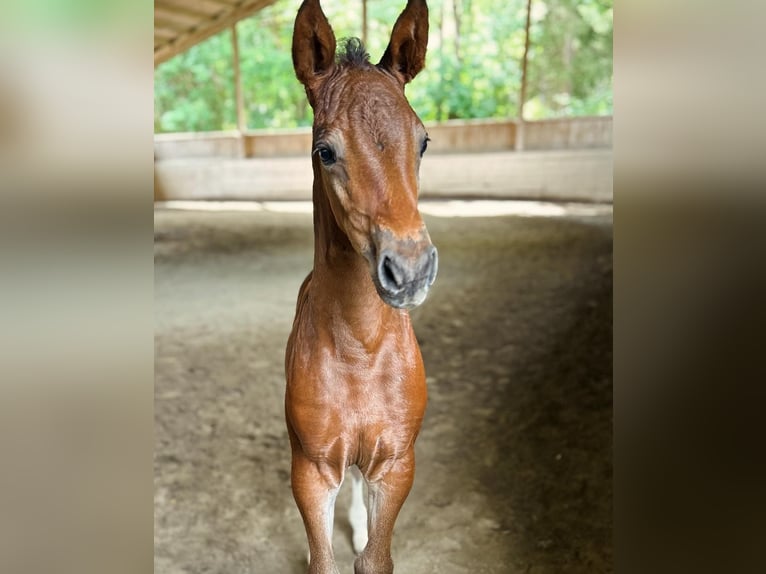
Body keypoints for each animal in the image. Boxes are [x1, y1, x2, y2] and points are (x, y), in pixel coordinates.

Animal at [284, 1, 436, 574]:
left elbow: (376, 559)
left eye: (423, 141)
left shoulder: (395, 463)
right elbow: (321, 560)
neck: (360, 348)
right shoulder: (310, 469)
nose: (410, 270)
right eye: (325, 151)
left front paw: (365, 533)